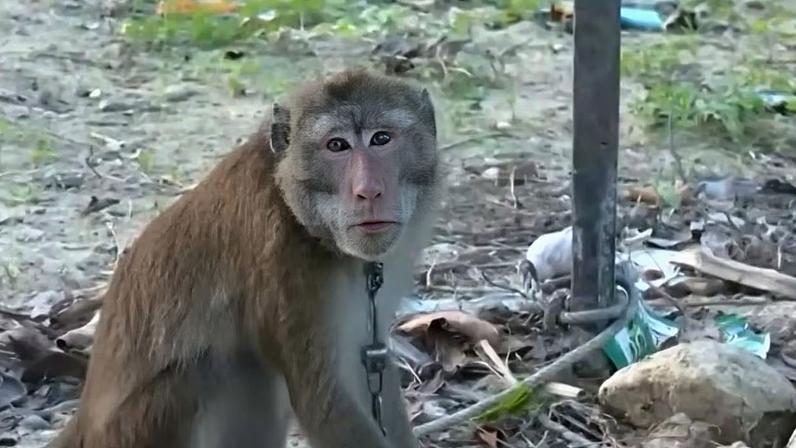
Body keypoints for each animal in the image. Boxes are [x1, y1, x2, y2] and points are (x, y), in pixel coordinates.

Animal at [48, 69, 441, 448]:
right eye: (337, 145)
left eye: (381, 139)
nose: (368, 191)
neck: (307, 223)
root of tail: (83, 425)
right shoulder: (285, 265)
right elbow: (323, 400)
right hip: (139, 430)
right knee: (215, 365)